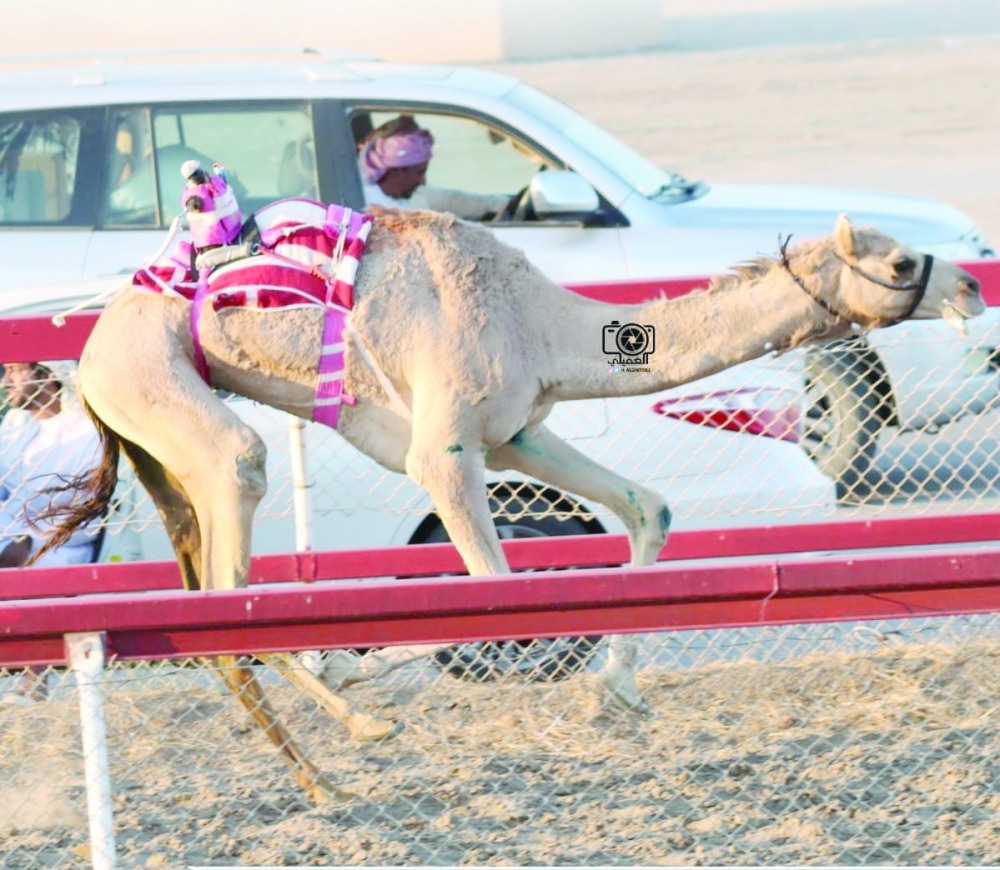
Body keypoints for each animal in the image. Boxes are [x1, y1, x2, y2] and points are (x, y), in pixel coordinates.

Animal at [38, 206, 983, 802]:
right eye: (901, 262)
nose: (972, 287)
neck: (543, 322)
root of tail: (92, 350)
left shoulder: (518, 434)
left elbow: (648, 511)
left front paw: (620, 694)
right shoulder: (445, 453)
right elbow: (496, 591)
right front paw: (359, 664)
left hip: (162, 442)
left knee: (212, 602)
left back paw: (328, 767)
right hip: (163, 387)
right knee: (233, 565)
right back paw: (351, 739)